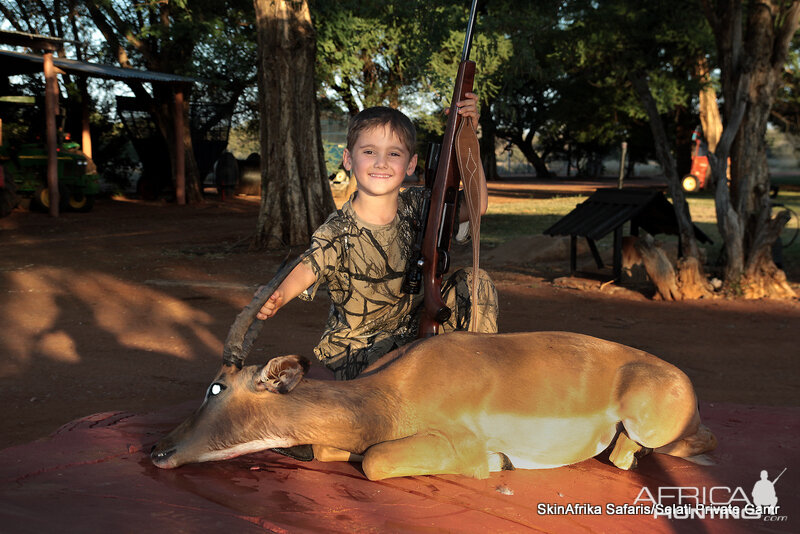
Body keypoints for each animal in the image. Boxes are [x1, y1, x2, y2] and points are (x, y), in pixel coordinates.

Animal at [152, 258, 720, 480]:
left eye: (216, 387)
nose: (159, 451)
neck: (386, 397)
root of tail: (679, 378)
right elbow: (328, 450)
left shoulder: (453, 446)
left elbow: (374, 460)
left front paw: (499, 465)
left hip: (656, 425)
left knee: (693, 443)